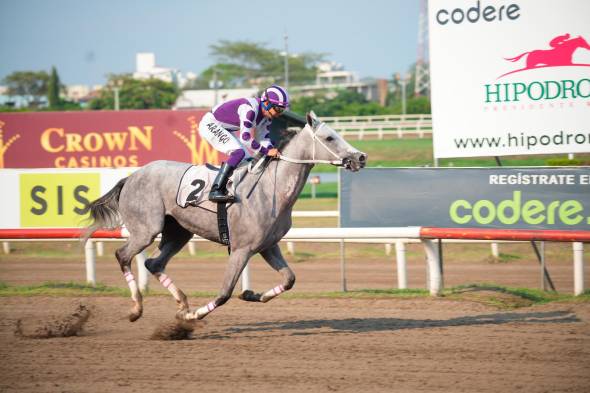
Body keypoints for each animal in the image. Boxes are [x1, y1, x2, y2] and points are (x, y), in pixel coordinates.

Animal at [85, 111, 368, 322]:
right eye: (330, 138)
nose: (361, 157)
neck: (271, 189)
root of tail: (131, 176)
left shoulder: (267, 246)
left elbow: (289, 279)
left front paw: (252, 294)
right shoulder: (241, 249)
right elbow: (224, 293)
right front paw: (194, 316)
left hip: (179, 232)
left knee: (154, 263)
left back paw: (182, 303)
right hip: (146, 229)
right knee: (123, 255)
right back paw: (137, 309)